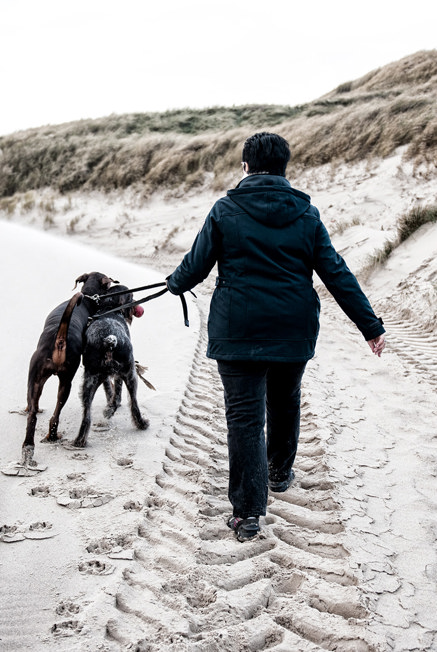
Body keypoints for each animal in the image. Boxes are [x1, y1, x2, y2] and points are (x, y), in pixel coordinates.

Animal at [22, 272, 115, 466]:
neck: (87, 296)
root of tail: (60, 341)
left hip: (48, 380)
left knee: (40, 414)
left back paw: (40, 440)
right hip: (53, 380)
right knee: (42, 414)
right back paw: (37, 442)